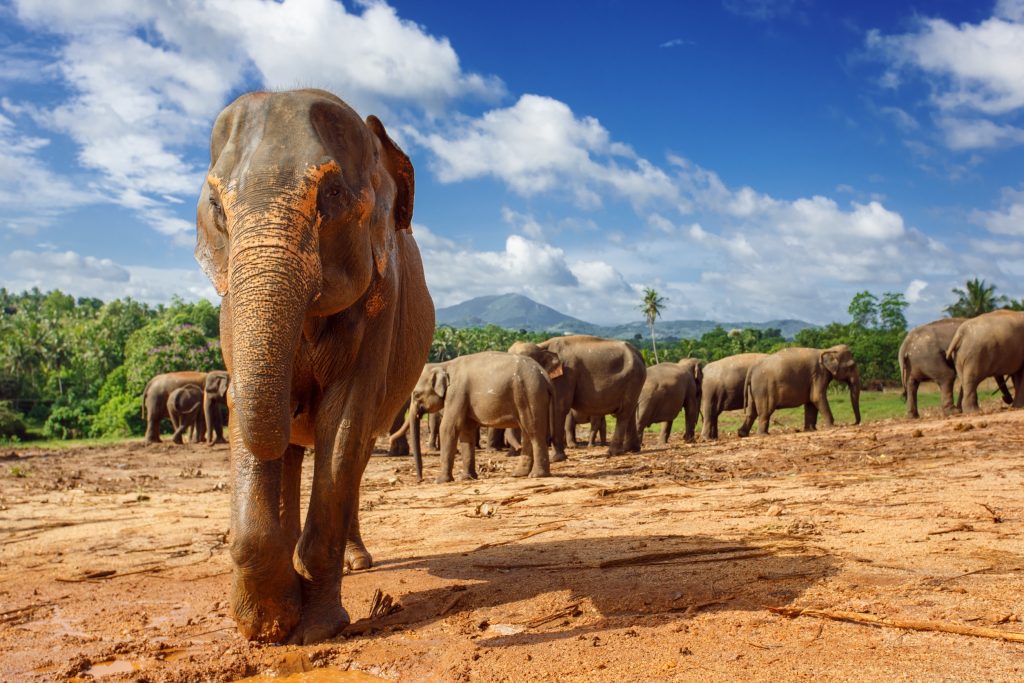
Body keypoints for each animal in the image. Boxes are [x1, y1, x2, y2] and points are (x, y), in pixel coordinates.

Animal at [194, 89, 434, 644]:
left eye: (333, 195)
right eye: (217, 208)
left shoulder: (382, 303)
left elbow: (343, 421)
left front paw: (316, 629)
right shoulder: (230, 311)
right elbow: (260, 427)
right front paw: (267, 626)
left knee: (354, 454)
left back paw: (355, 562)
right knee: (293, 452)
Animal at [391, 352, 555, 483]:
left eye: (416, 394)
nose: (420, 479)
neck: (444, 365)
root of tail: (545, 376)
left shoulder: (456, 393)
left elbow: (449, 428)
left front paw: (440, 481)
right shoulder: (463, 398)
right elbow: (466, 431)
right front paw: (467, 477)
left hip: (530, 393)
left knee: (534, 431)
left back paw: (537, 475)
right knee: (527, 432)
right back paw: (519, 474)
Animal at [509, 335, 645, 459]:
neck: (542, 345)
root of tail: (639, 355)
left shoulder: (566, 374)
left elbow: (559, 407)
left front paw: (556, 458)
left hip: (633, 379)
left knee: (623, 413)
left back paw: (612, 452)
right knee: (631, 412)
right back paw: (631, 449)